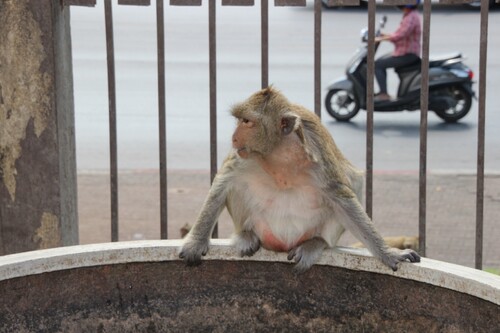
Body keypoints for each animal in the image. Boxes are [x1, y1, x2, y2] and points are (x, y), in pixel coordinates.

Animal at [178, 85, 420, 270]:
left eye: (247, 122)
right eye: (240, 120)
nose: (234, 137)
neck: (279, 155)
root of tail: (282, 245)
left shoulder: (319, 160)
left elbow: (341, 196)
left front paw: (389, 253)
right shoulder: (243, 157)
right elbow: (224, 181)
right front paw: (196, 242)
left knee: (355, 182)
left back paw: (317, 242)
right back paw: (245, 235)